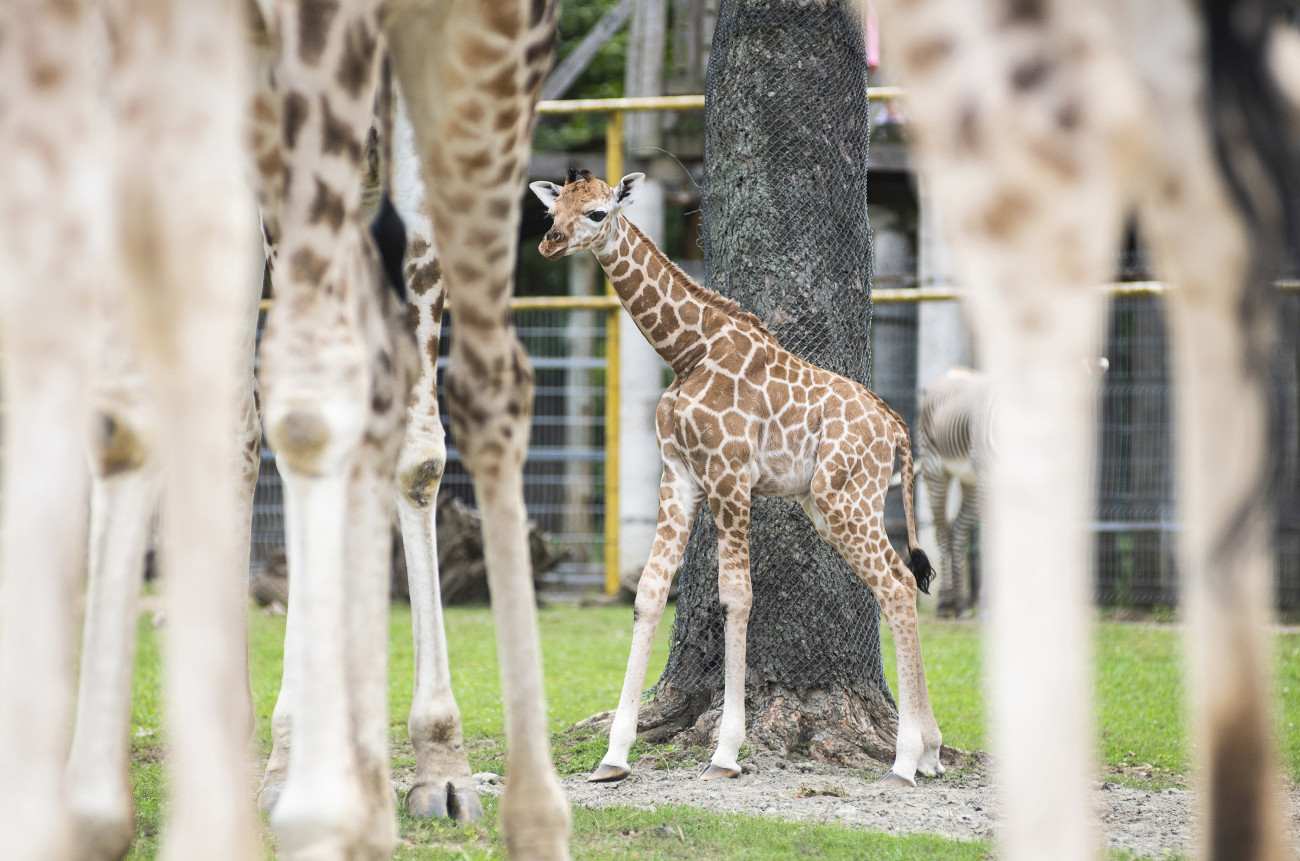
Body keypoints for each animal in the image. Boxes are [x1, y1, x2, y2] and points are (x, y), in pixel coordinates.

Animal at [530, 169, 942, 786]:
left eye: (598, 212)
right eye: (554, 210)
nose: (549, 244)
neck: (686, 352)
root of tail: (896, 428)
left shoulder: (728, 474)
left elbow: (737, 596)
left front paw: (725, 752)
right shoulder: (679, 476)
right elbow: (651, 592)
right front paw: (614, 755)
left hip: (845, 497)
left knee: (894, 584)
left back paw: (906, 760)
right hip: (833, 503)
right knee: (898, 579)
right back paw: (933, 751)